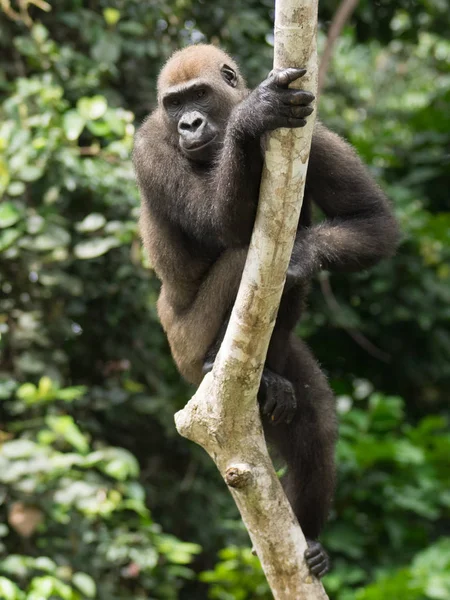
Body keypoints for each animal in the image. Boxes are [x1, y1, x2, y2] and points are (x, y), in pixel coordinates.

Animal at [133, 43, 398, 576]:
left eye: (198, 96)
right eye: (173, 104)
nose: (188, 124)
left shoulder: (312, 133)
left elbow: (372, 222)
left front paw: (303, 253)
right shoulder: (149, 144)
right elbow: (223, 224)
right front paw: (250, 118)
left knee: (314, 428)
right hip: (184, 349)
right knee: (242, 253)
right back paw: (215, 361)